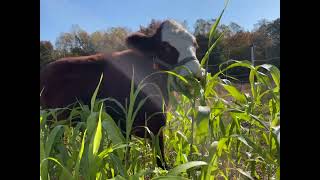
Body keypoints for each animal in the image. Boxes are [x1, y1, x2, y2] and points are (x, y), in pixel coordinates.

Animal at [40, 19, 205, 169]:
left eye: (195, 45)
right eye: (166, 47)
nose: (196, 74)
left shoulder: (157, 125)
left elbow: (162, 161)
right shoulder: (123, 124)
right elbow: (125, 158)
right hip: (52, 120)